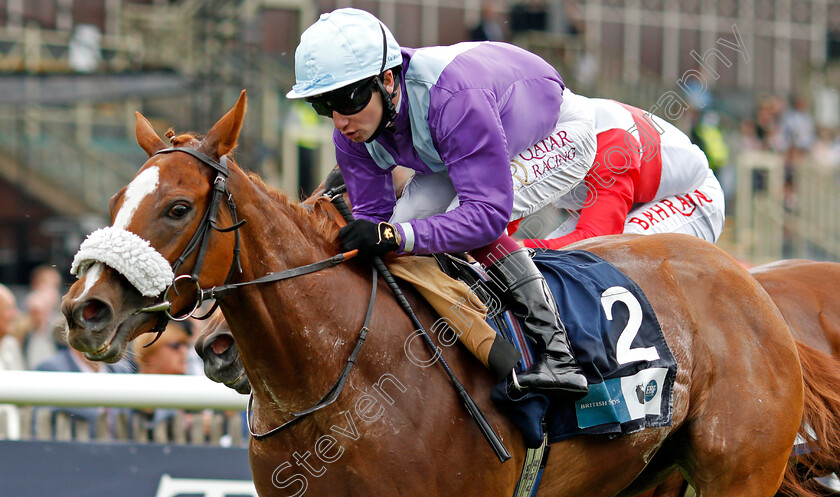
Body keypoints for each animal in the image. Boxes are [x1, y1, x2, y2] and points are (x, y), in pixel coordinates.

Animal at [60, 92, 840, 492]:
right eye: (116, 200)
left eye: (177, 208)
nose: (84, 309)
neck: (341, 374)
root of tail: (751, 285)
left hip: (739, 470)